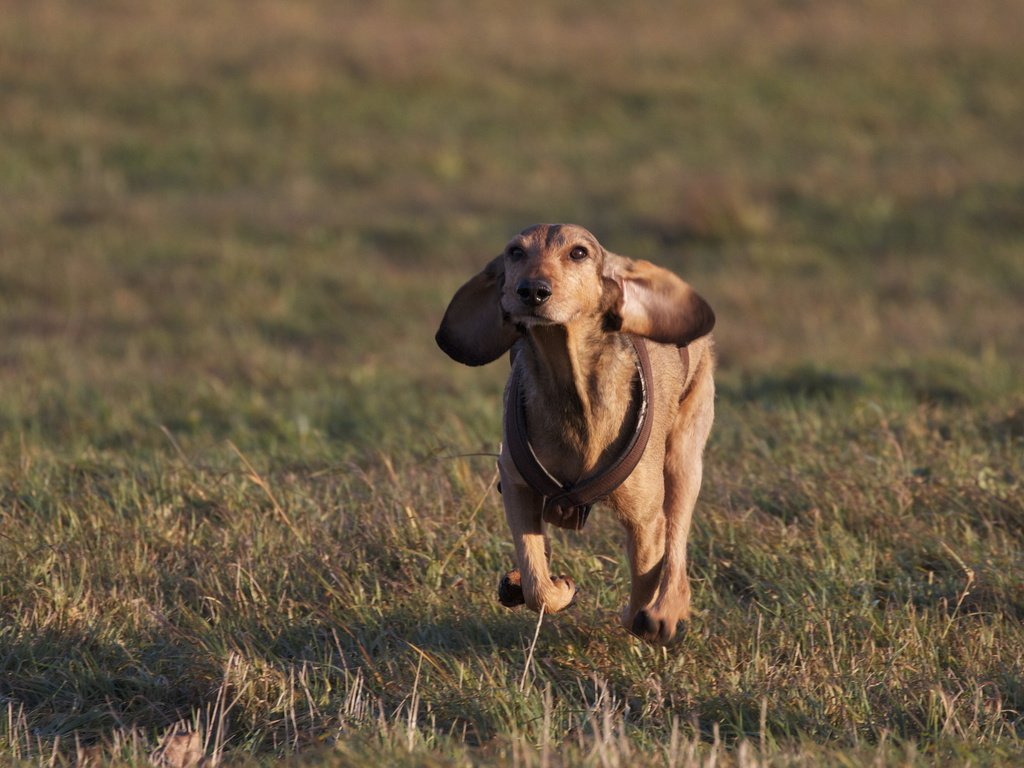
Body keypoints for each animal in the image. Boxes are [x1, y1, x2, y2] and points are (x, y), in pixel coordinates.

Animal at [436, 224, 716, 643]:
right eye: (515, 252)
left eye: (579, 253)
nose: (532, 290)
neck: (570, 385)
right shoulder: (516, 486)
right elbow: (537, 581)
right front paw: (553, 587)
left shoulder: (645, 520)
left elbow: (644, 582)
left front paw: (643, 616)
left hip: (684, 459)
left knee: (677, 545)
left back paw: (667, 610)